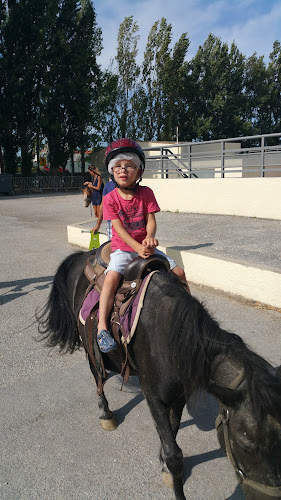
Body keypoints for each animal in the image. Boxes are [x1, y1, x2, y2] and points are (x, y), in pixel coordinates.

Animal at [37, 250, 280, 500]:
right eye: (245, 444)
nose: (270, 496)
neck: (172, 337)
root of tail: (84, 255)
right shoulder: (154, 398)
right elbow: (175, 457)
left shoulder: (178, 397)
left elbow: (172, 433)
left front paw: (163, 464)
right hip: (89, 349)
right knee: (98, 379)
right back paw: (106, 413)